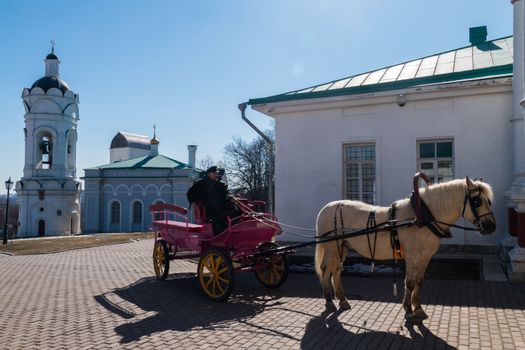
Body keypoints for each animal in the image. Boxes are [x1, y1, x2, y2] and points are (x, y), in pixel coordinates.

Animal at [316, 176, 496, 318]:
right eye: (477, 201)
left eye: (489, 201)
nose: (491, 227)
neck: (422, 218)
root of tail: (325, 208)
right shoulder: (412, 256)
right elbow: (409, 282)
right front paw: (408, 309)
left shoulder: (425, 257)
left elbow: (419, 281)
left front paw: (418, 308)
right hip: (332, 247)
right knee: (326, 269)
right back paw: (329, 300)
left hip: (342, 247)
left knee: (336, 270)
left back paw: (342, 300)